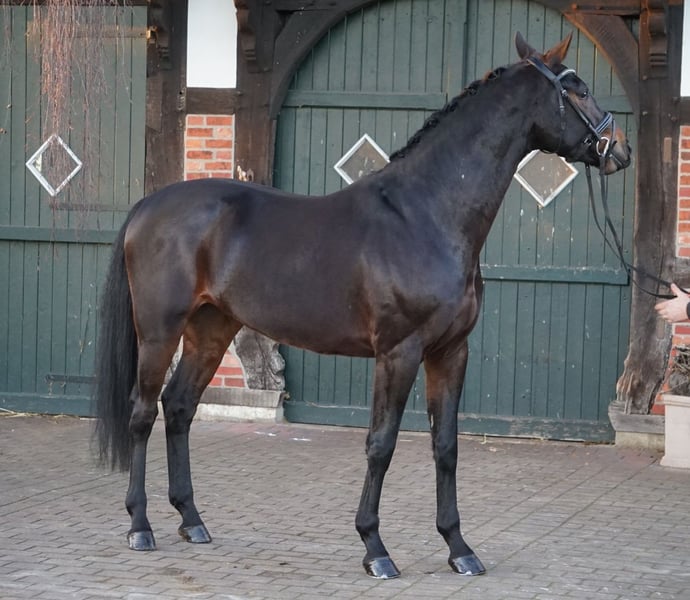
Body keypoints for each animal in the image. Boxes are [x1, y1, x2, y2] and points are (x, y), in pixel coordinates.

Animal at [94, 32, 631, 579]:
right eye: (579, 90)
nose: (620, 148)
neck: (425, 215)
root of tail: (147, 206)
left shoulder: (451, 352)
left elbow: (446, 446)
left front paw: (459, 548)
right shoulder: (399, 352)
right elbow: (381, 443)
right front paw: (375, 548)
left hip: (211, 329)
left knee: (179, 407)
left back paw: (192, 520)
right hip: (159, 332)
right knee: (143, 412)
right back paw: (141, 526)